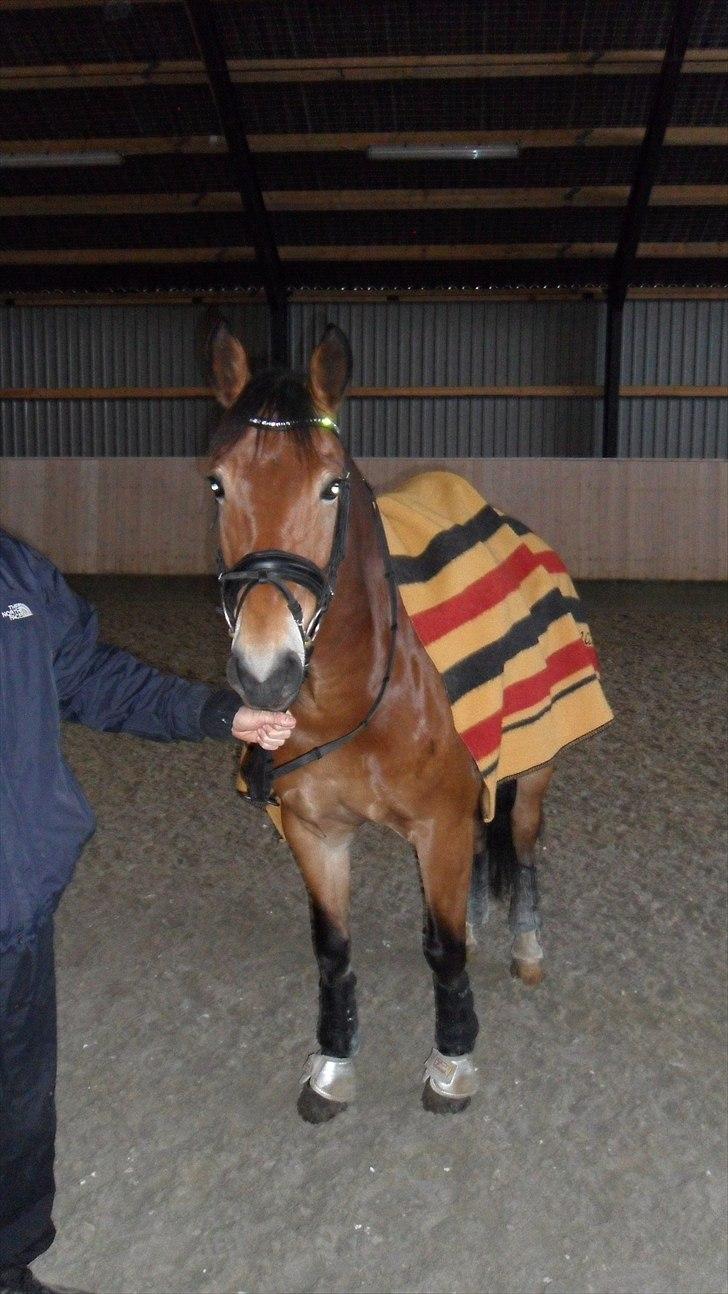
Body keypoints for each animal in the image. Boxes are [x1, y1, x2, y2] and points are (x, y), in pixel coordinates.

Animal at [204, 318, 606, 1124]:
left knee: (521, 842)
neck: (357, 696)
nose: (265, 673)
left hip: (534, 767)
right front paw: (331, 1064)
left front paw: (452, 1062)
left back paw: (525, 948)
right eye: (217, 482)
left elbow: (443, 952)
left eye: (331, 485)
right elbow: (333, 948)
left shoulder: (439, 824)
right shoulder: (315, 832)